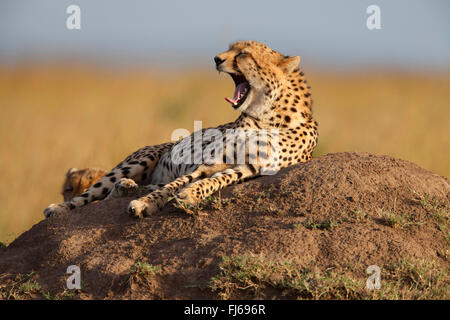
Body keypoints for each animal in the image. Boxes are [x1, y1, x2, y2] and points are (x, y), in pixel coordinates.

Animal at [44, 40, 318, 219]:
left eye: (243, 53)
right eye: (231, 48)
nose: (216, 59)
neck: (267, 116)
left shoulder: (252, 167)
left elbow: (217, 179)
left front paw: (190, 195)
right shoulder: (209, 162)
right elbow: (176, 184)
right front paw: (146, 204)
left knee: (125, 189)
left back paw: (128, 187)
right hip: (140, 159)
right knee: (98, 192)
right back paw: (61, 208)